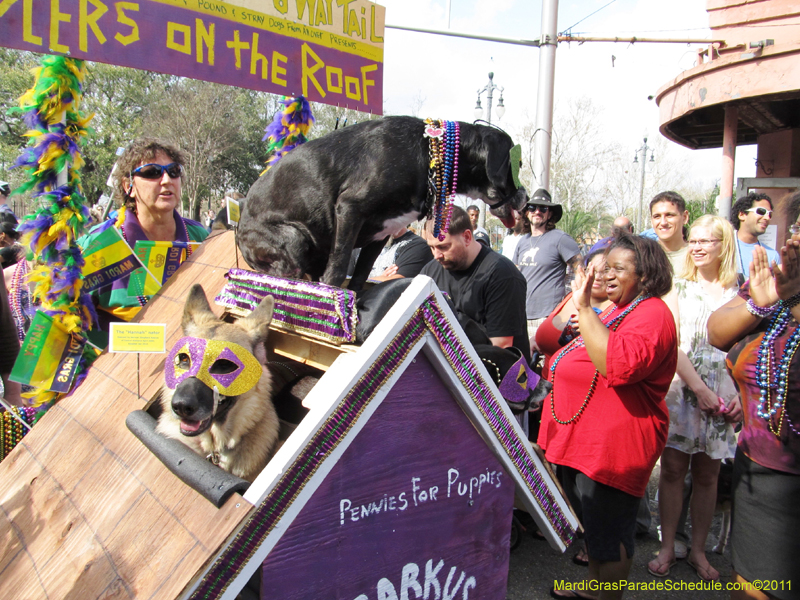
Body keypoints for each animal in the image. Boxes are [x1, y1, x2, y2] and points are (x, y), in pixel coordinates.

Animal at [234, 114, 528, 290]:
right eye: (518, 164)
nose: (525, 197)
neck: (427, 154)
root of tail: (239, 225)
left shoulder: (379, 236)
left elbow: (360, 276)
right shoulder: (349, 208)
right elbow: (338, 270)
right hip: (293, 240)